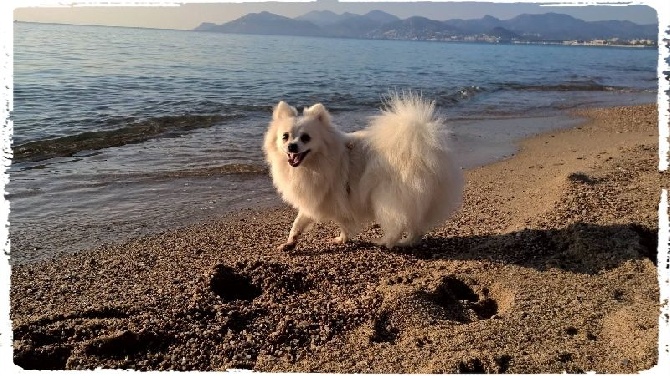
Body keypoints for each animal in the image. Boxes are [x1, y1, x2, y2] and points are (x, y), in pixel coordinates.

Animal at [266, 91, 464, 251]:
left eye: (306, 138)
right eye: (285, 136)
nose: (292, 146)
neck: (316, 162)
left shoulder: (337, 199)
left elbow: (344, 223)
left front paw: (342, 239)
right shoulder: (314, 200)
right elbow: (298, 223)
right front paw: (290, 242)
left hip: (386, 198)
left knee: (398, 223)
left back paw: (386, 242)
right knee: (416, 227)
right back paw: (407, 242)